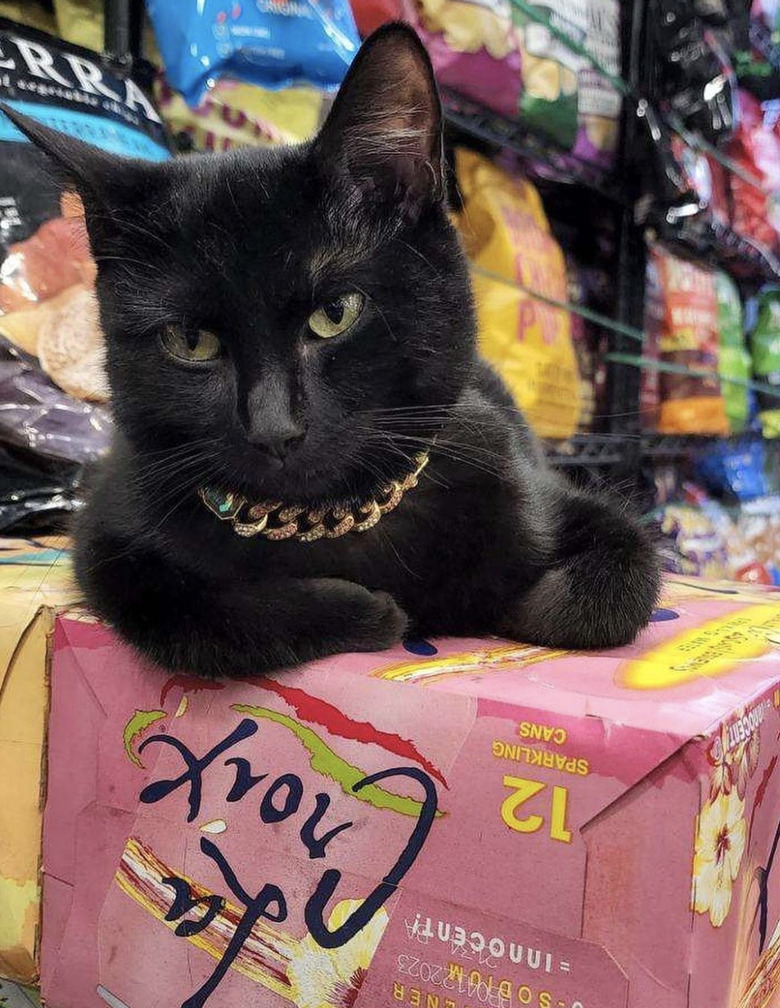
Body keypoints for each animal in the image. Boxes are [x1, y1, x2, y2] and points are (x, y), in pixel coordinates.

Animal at [1, 23, 661, 677]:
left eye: (334, 314)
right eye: (191, 341)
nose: (274, 429)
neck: (328, 520)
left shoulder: (542, 490)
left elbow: (620, 580)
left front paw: (512, 608)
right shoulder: (109, 533)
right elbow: (191, 616)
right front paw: (374, 611)